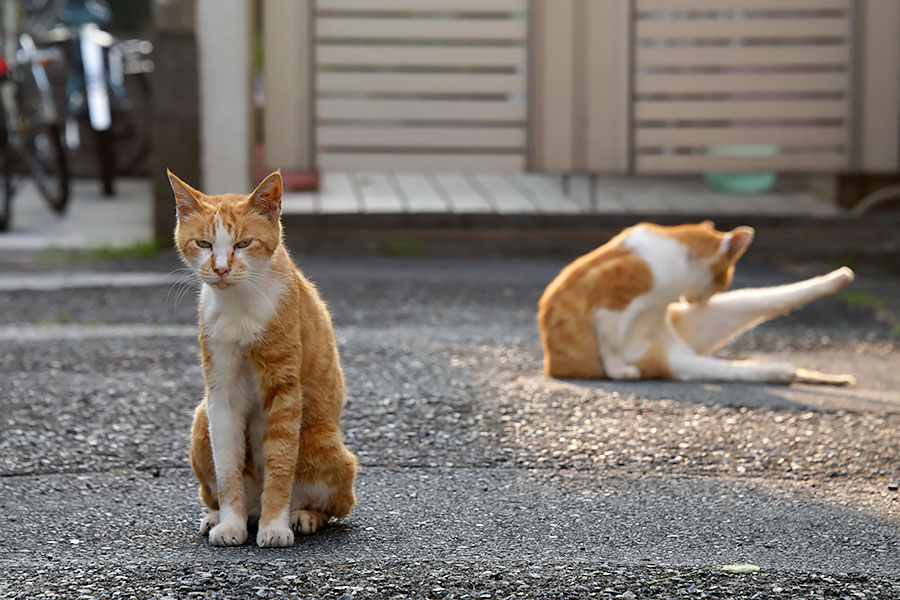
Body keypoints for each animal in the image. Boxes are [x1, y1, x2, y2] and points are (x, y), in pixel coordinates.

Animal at [167, 170, 356, 548]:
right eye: (204, 244)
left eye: (242, 244)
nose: (220, 269)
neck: (238, 305)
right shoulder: (220, 391)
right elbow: (227, 469)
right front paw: (231, 523)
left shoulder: (283, 388)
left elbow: (280, 463)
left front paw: (274, 526)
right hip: (200, 420)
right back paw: (222, 516)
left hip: (326, 444)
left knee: (331, 506)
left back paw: (301, 515)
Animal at [536, 221, 856, 384]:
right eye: (722, 280)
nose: (700, 300)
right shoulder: (610, 302)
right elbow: (610, 343)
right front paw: (618, 371)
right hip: (676, 359)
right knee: (735, 369)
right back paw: (783, 371)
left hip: (713, 318)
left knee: (772, 299)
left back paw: (840, 278)